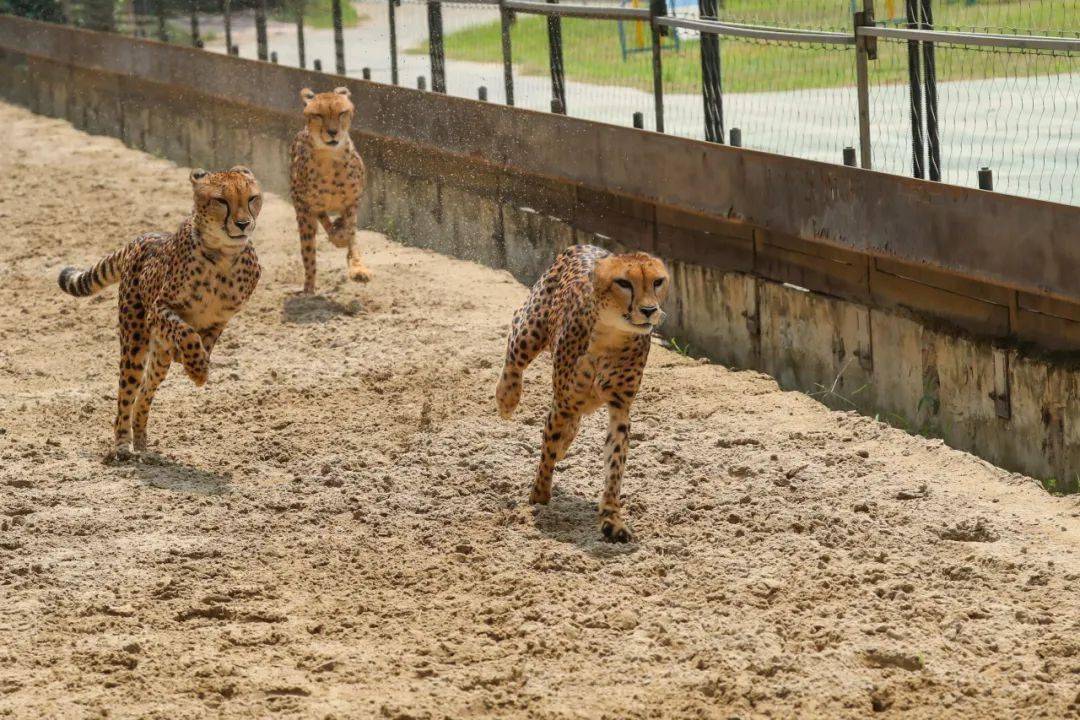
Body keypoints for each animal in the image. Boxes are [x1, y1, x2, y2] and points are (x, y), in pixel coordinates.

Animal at [58, 167, 262, 462]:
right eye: (221, 201)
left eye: (252, 198)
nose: (244, 223)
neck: (222, 255)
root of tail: (141, 238)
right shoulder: (158, 310)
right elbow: (187, 332)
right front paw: (197, 370)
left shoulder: (222, 318)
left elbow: (207, 339)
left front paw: (198, 362)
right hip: (134, 340)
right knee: (127, 393)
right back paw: (123, 446)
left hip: (158, 357)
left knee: (145, 391)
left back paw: (142, 444)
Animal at [289, 85, 369, 293]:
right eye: (318, 115)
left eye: (341, 112)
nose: (332, 131)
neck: (330, 159)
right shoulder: (304, 207)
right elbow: (309, 250)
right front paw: (309, 288)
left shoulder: (353, 200)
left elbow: (351, 233)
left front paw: (358, 268)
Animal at [494, 245, 665, 544]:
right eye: (624, 283)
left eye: (657, 281)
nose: (649, 310)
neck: (611, 333)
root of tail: (583, 246)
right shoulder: (563, 401)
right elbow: (548, 446)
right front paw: (539, 495)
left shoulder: (620, 407)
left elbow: (615, 464)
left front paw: (611, 519)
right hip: (531, 329)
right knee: (515, 339)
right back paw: (507, 397)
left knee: (573, 422)